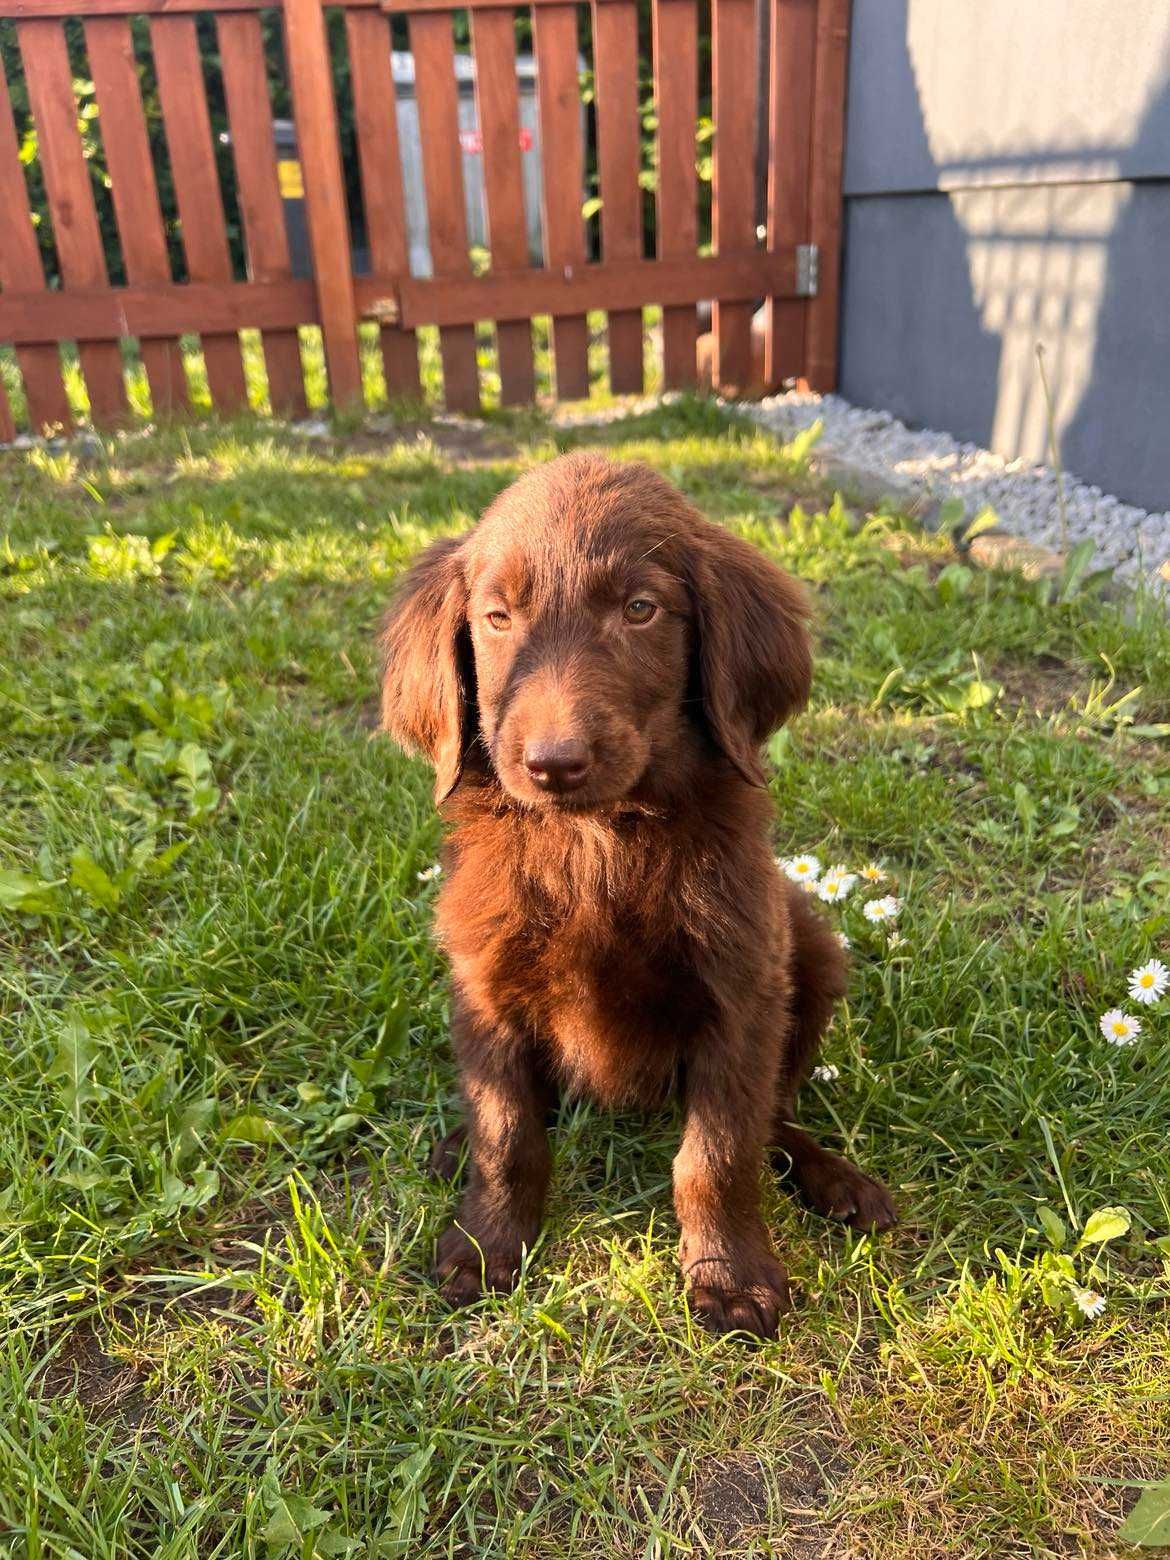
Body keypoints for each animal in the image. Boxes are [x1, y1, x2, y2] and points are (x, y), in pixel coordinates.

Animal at [380, 452, 892, 1341]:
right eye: (497, 617)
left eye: (640, 610)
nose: (554, 763)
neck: (595, 843)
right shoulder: (485, 984)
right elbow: (508, 1132)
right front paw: (486, 1245)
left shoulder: (741, 993)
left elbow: (719, 1152)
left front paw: (730, 1275)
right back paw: (453, 1148)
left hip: (812, 951)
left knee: (776, 1118)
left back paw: (835, 1179)